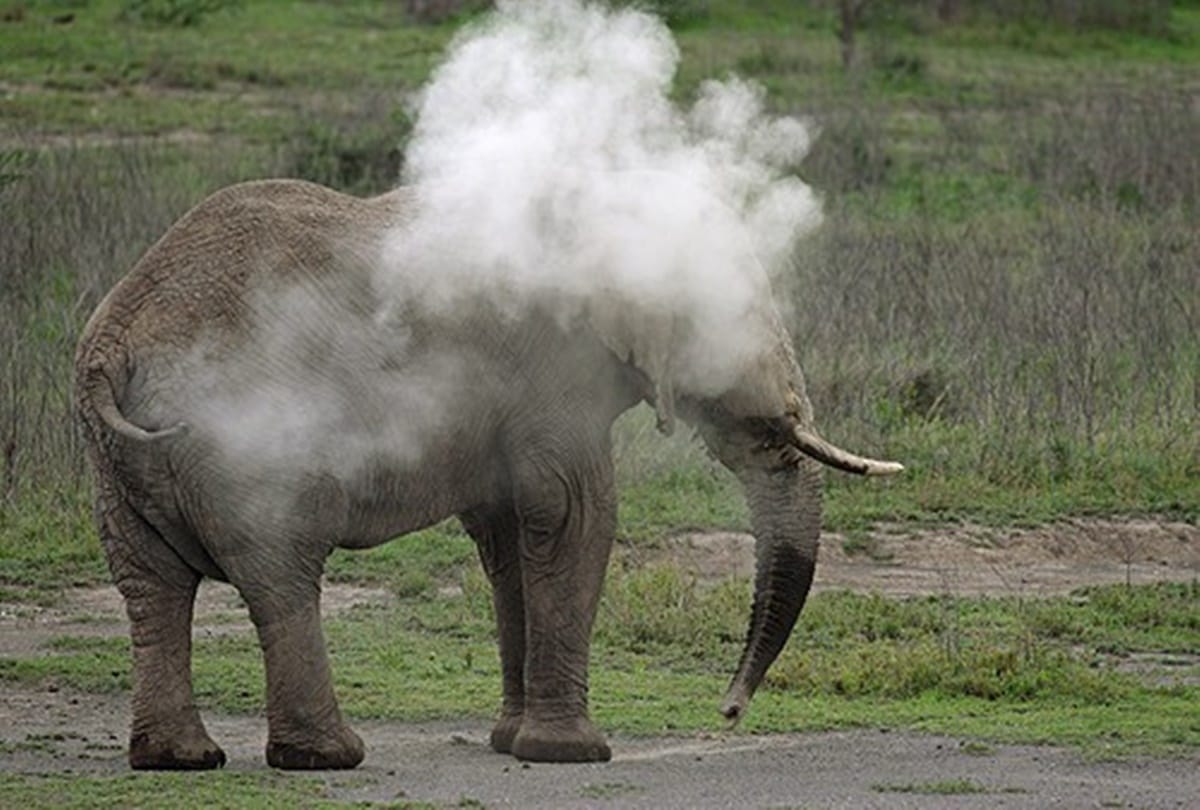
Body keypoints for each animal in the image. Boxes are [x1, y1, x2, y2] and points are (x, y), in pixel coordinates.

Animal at [74, 178, 902, 770]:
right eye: (741, 317)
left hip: (115, 467)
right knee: (281, 578)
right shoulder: (555, 367)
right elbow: (574, 513)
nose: (727, 711)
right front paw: (573, 755)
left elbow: (508, 539)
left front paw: (512, 741)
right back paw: (328, 758)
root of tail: (115, 344)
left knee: (152, 587)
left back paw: (179, 759)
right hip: (249, 442)